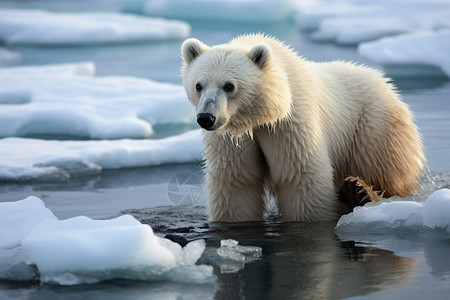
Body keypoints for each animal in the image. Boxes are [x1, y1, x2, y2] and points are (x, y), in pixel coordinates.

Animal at [180, 34, 426, 223]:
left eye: (229, 86)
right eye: (199, 85)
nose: (206, 118)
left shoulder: (290, 124)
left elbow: (300, 177)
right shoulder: (231, 139)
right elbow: (236, 182)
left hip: (373, 123)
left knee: (385, 170)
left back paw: (362, 192)